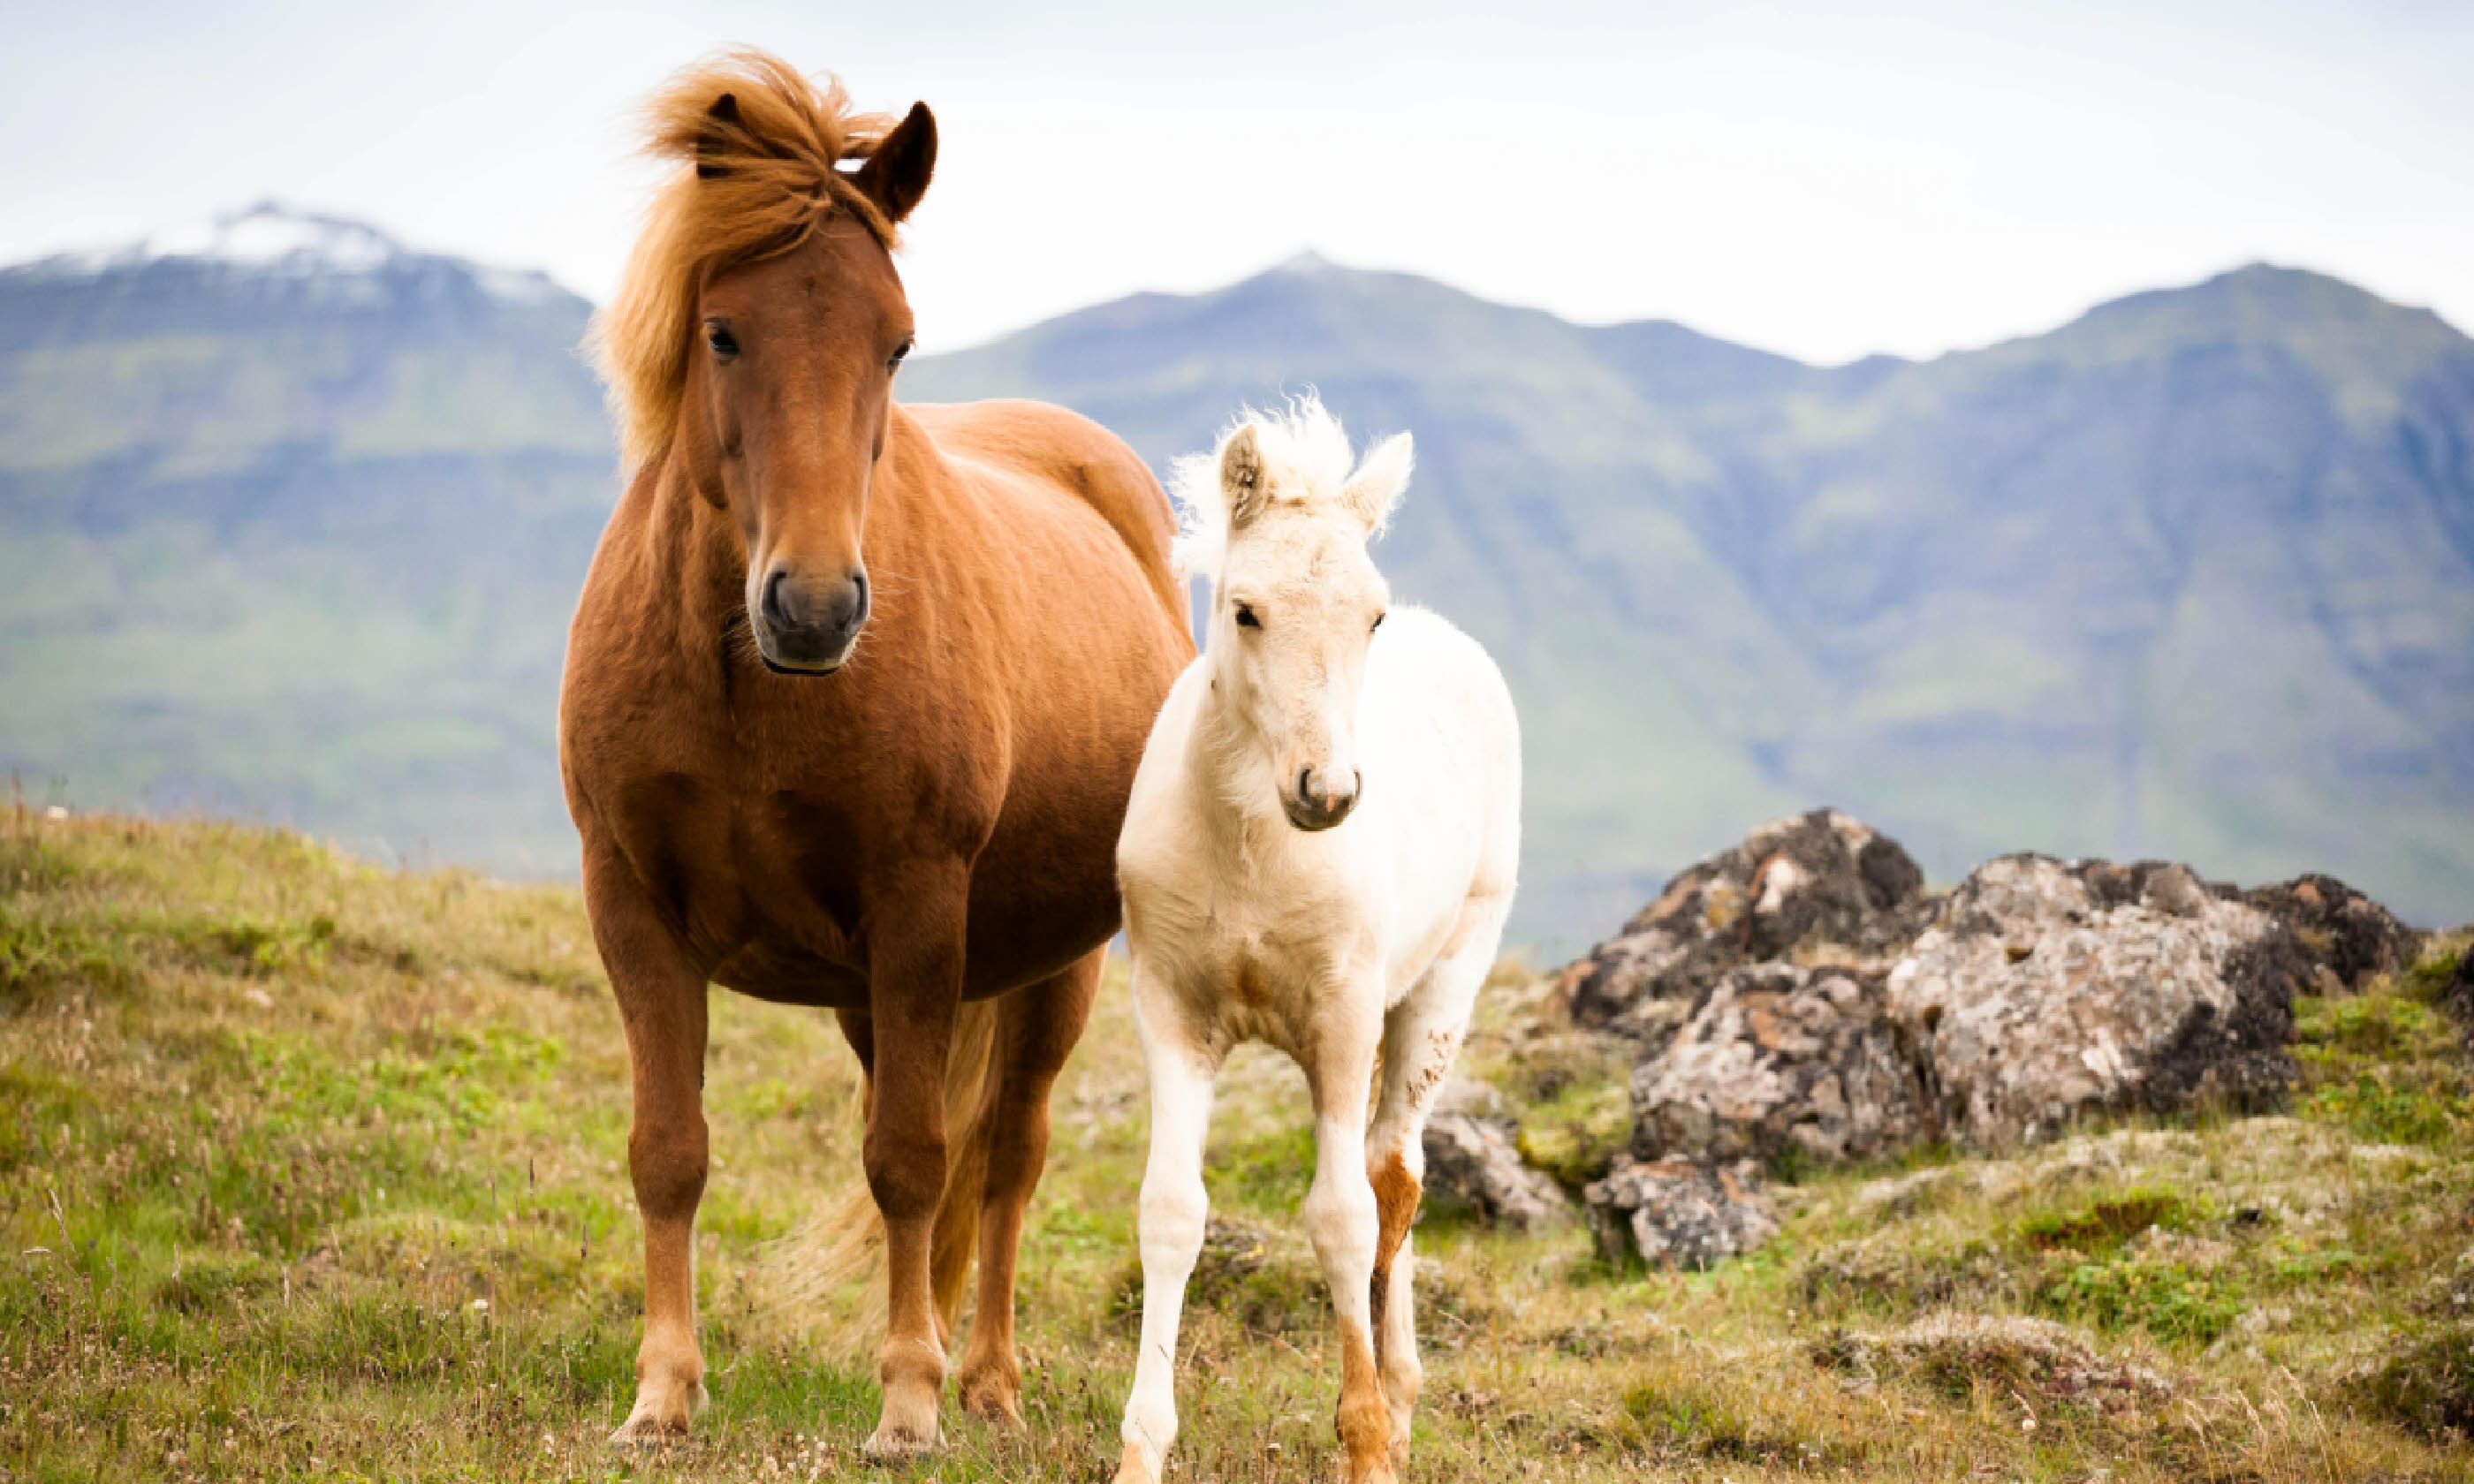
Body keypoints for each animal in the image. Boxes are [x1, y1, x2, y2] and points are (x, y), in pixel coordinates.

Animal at [558, 52, 1188, 1454]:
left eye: (895, 340)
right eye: (722, 331)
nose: (813, 608)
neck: (754, 689)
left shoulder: (918, 911)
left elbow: (911, 1162)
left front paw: (909, 1405)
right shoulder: (630, 904)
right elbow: (666, 1151)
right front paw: (662, 1395)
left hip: (1050, 970)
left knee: (1004, 1159)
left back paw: (986, 1378)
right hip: (871, 994)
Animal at [1108, 400, 1523, 1484]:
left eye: (1370, 617)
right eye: (1245, 610)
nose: (1326, 793)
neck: (1254, 848)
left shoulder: (1341, 1019)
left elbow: (1341, 1218)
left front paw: (1367, 1442)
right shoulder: (1172, 1014)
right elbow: (1171, 1212)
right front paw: (1141, 1449)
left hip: (1441, 989)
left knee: (1396, 1177)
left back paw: (1401, 1398)